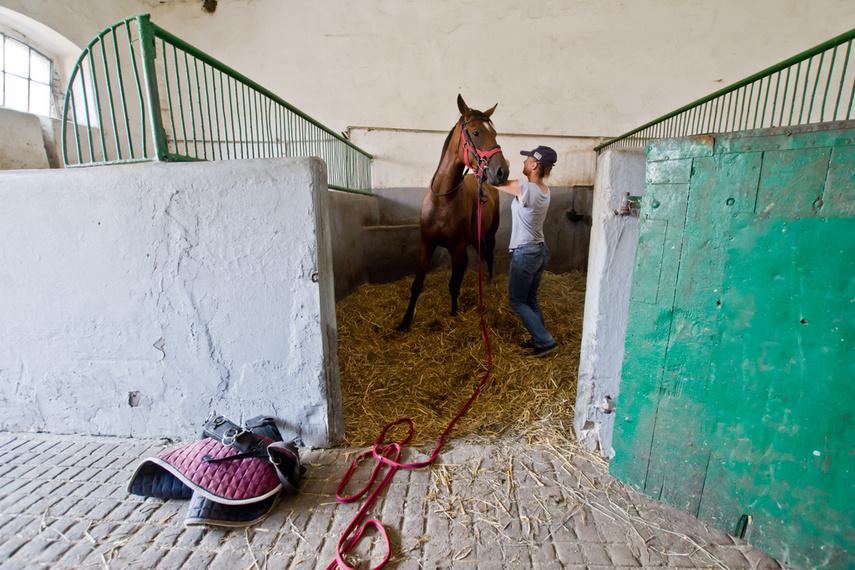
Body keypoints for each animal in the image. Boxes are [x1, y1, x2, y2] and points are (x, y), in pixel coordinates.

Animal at [396, 95, 508, 330]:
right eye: (476, 132)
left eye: (494, 133)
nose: (502, 172)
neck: (443, 200)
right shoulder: (426, 244)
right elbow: (417, 284)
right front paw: (405, 321)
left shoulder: (456, 247)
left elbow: (454, 283)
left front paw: (454, 311)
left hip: (489, 234)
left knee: (489, 256)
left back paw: (490, 281)